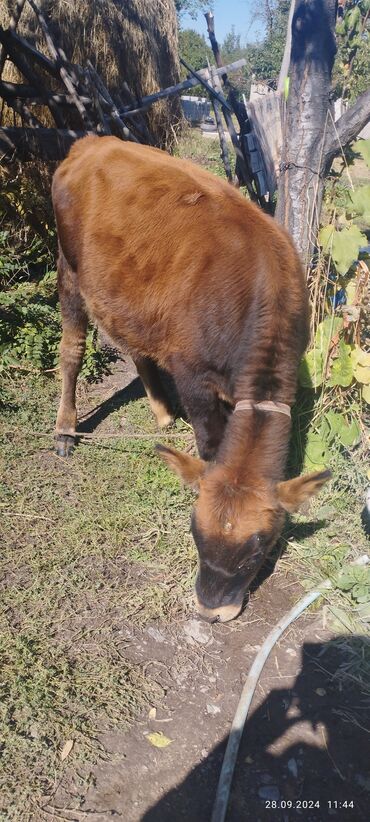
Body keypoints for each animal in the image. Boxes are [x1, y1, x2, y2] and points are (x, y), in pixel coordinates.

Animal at [51, 135, 330, 624]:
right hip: (69, 266)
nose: (211, 611)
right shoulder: (193, 376)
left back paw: (162, 412)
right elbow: (210, 444)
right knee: (72, 348)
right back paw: (66, 427)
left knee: (137, 343)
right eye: (196, 535)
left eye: (257, 552)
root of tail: (92, 142)